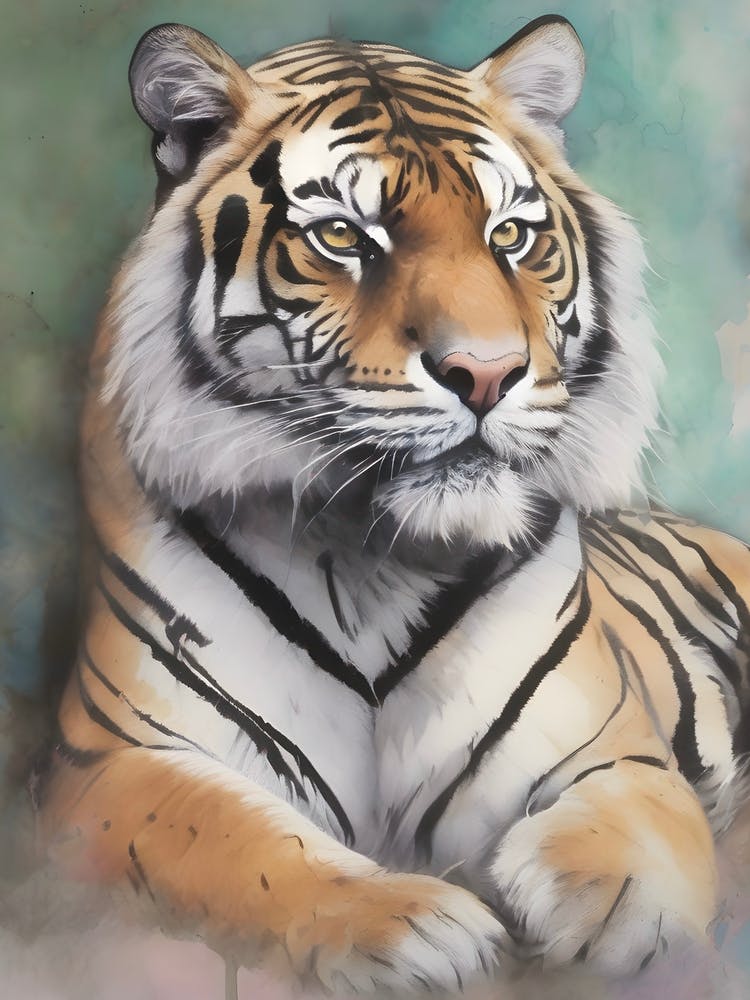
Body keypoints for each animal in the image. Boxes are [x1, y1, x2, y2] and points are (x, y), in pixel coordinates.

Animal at [36, 13, 750, 994]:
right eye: (343, 236)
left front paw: (604, 913)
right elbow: (239, 844)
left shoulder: (609, 747)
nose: (486, 372)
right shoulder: (114, 764)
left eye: (511, 235)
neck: (369, 556)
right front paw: (409, 923)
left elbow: (640, 838)